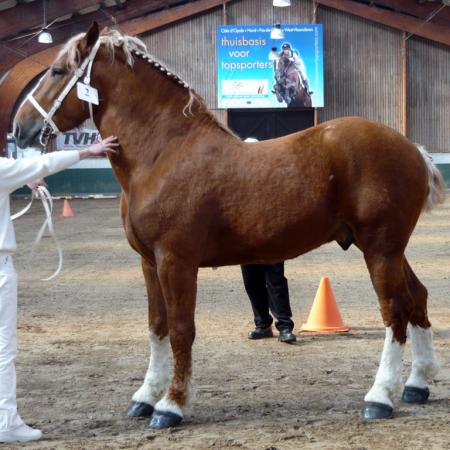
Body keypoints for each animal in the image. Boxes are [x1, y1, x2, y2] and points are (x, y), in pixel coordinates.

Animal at [13, 23, 442, 428]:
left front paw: (171, 405)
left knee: (394, 310)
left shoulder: (176, 261)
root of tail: (413, 149)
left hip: (380, 248)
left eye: (57, 71)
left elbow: (181, 329)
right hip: (388, 249)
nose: (19, 129)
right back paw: (417, 385)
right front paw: (145, 397)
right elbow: (157, 327)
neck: (164, 153)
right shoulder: (149, 263)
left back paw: (380, 398)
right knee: (417, 298)